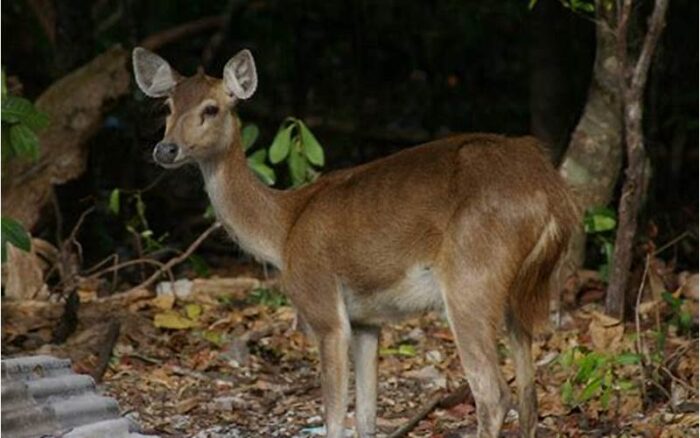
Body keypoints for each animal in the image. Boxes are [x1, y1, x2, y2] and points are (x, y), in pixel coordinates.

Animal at [131, 48, 580, 438]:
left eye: (212, 108)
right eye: (167, 108)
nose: (165, 149)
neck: (283, 230)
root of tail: (553, 194)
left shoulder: (323, 307)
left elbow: (334, 420)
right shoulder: (367, 320)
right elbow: (365, 418)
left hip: (472, 275)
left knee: (493, 394)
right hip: (520, 289)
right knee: (528, 395)